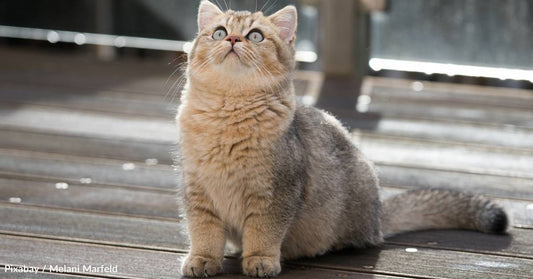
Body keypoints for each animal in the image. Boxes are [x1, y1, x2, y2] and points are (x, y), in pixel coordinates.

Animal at [175, 1, 508, 278]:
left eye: (255, 36)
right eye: (219, 32)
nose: (232, 40)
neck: (227, 114)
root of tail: (378, 215)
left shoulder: (277, 192)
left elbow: (264, 232)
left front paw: (260, 260)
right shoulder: (196, 190)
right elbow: (203, 231)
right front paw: (203, 259)